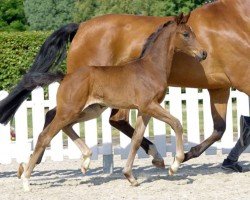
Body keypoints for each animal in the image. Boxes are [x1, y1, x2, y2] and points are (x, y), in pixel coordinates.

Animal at [0, 0, 249, 166]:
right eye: (186, 35)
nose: (203, 54)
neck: (235, 18)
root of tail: (81, 26)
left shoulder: (219, 87)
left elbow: (220, 128)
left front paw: (213, 159)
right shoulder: (242, 79)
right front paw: (186, 158)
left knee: (105, 119)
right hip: (86, 96)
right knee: (62, 116)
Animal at [19, 13, 205, 189]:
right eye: (186, 34)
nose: (204, 53)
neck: (150, 68)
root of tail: (65, 77)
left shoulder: (144, 110)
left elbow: (137, 139)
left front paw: (130, 176)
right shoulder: (150, 105)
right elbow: (177, 124)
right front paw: (175, 165)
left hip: (88, 110)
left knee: (65, 127)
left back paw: (86, 160)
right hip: (69, 110)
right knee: (45, 136)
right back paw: (26, 179)